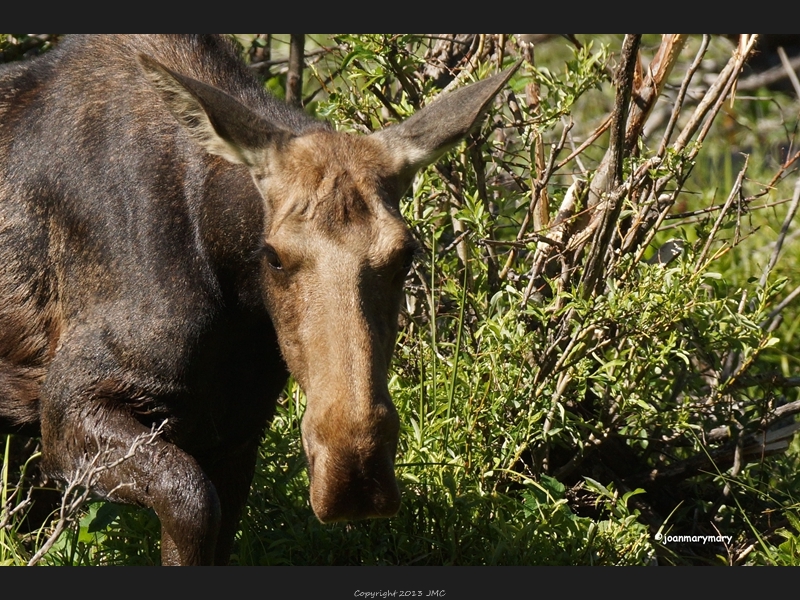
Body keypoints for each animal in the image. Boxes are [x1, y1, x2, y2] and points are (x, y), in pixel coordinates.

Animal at [0, 35, 512, 564]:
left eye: (406, 254)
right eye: (273, 256)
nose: (354, 474)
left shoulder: (235, 435)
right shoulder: (67, 409)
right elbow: (192, 502)